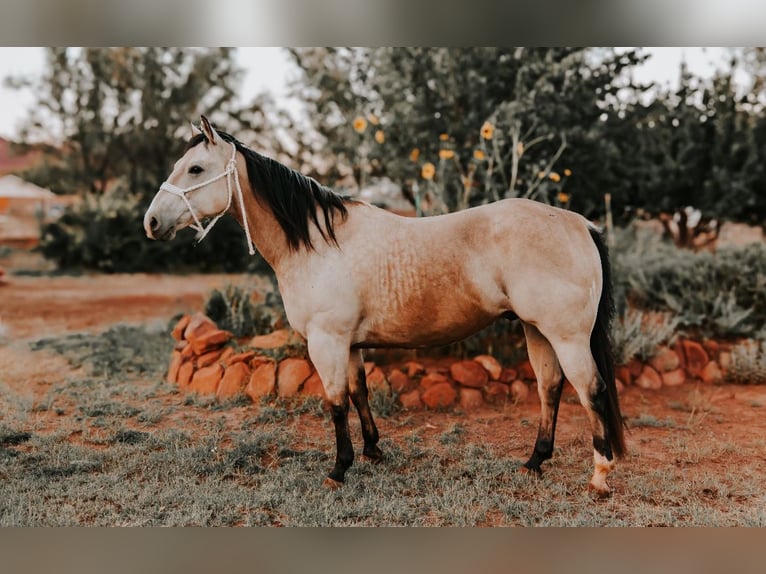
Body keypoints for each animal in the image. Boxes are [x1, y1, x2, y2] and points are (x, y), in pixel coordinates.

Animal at [144, 116, 626, 497]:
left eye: (195, 168)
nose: (151, 223)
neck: (318, 243)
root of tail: (579, 223)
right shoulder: (350, 344)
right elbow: (360, 392)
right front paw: (373, 451)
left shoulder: (327, 341)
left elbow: (336, 401)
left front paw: (338, 469)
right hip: (536, 330)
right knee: (551, 388)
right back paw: (534, 462)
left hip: (567, 336)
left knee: (592, 391)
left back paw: (600, 476)